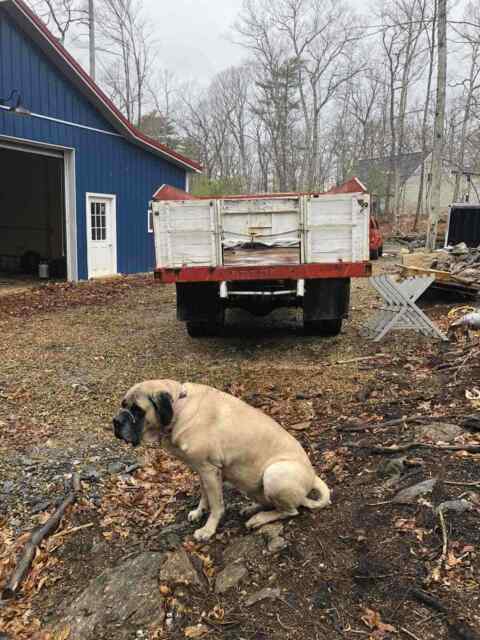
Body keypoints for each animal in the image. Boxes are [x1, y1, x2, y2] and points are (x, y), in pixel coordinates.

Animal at [112, 380, 330, 540]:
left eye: (137, 410)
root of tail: (313, 477)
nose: (116, 421)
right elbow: (204, 495)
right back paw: (252, 508)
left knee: (290, 511)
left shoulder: (209, 470)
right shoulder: (201, 470)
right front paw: (199, 511)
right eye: (122, 405)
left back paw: (259, 518)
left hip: (274, 474)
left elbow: (217, 505)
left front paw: (208, 529)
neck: (179, 407)